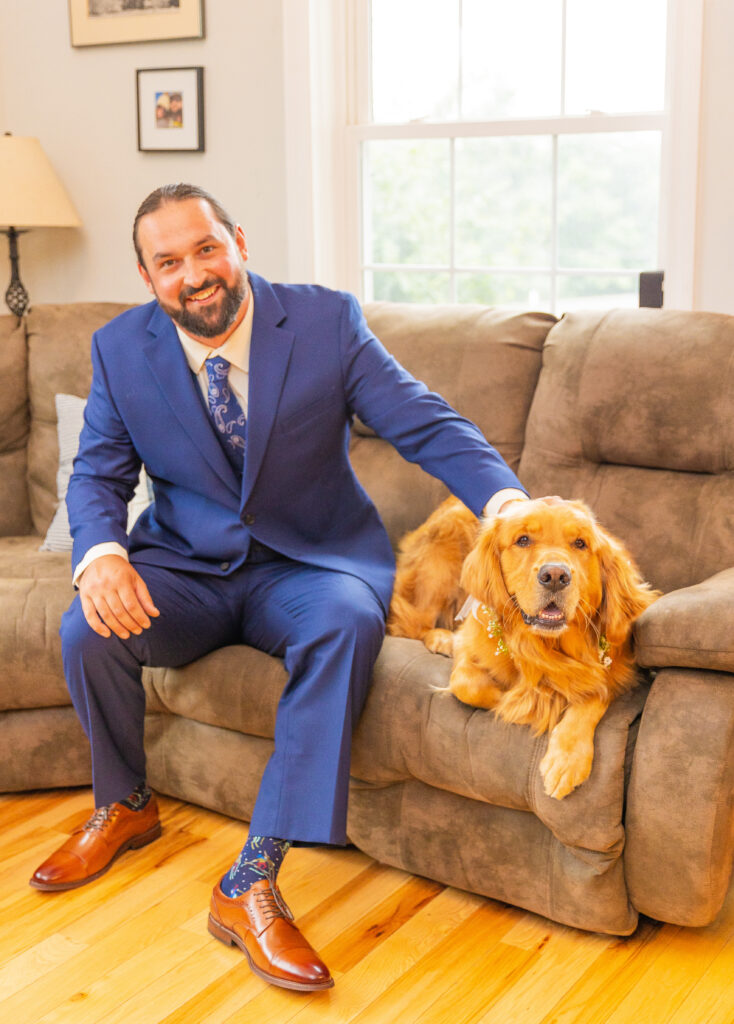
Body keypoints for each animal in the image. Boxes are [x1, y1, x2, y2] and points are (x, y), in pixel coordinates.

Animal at [386, 495, 655, 798]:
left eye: (580, 543)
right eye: (523, 540)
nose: (555, 576)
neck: (544, 646)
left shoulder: (616, 667)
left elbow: (593, 693)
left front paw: (567, 759)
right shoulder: (471, 641)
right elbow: (467, 684)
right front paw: (518, 702)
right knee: (410, 622)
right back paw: (443, 639)